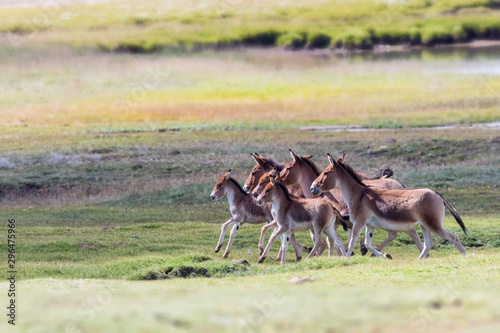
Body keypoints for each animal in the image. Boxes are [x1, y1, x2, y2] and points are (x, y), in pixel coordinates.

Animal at [312, 154, 468, 258]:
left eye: (326, 172)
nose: (312, 187)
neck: (359, 194)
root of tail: (436, 194)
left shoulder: (359, 222)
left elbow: (351, 243)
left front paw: (346, 259)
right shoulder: (370, 225)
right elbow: (367, 243)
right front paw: (383, 256)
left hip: (433, 225)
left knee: (453, 237)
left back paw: (465, 256)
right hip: (425, 225)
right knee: (428, 244)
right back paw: (419, 260)